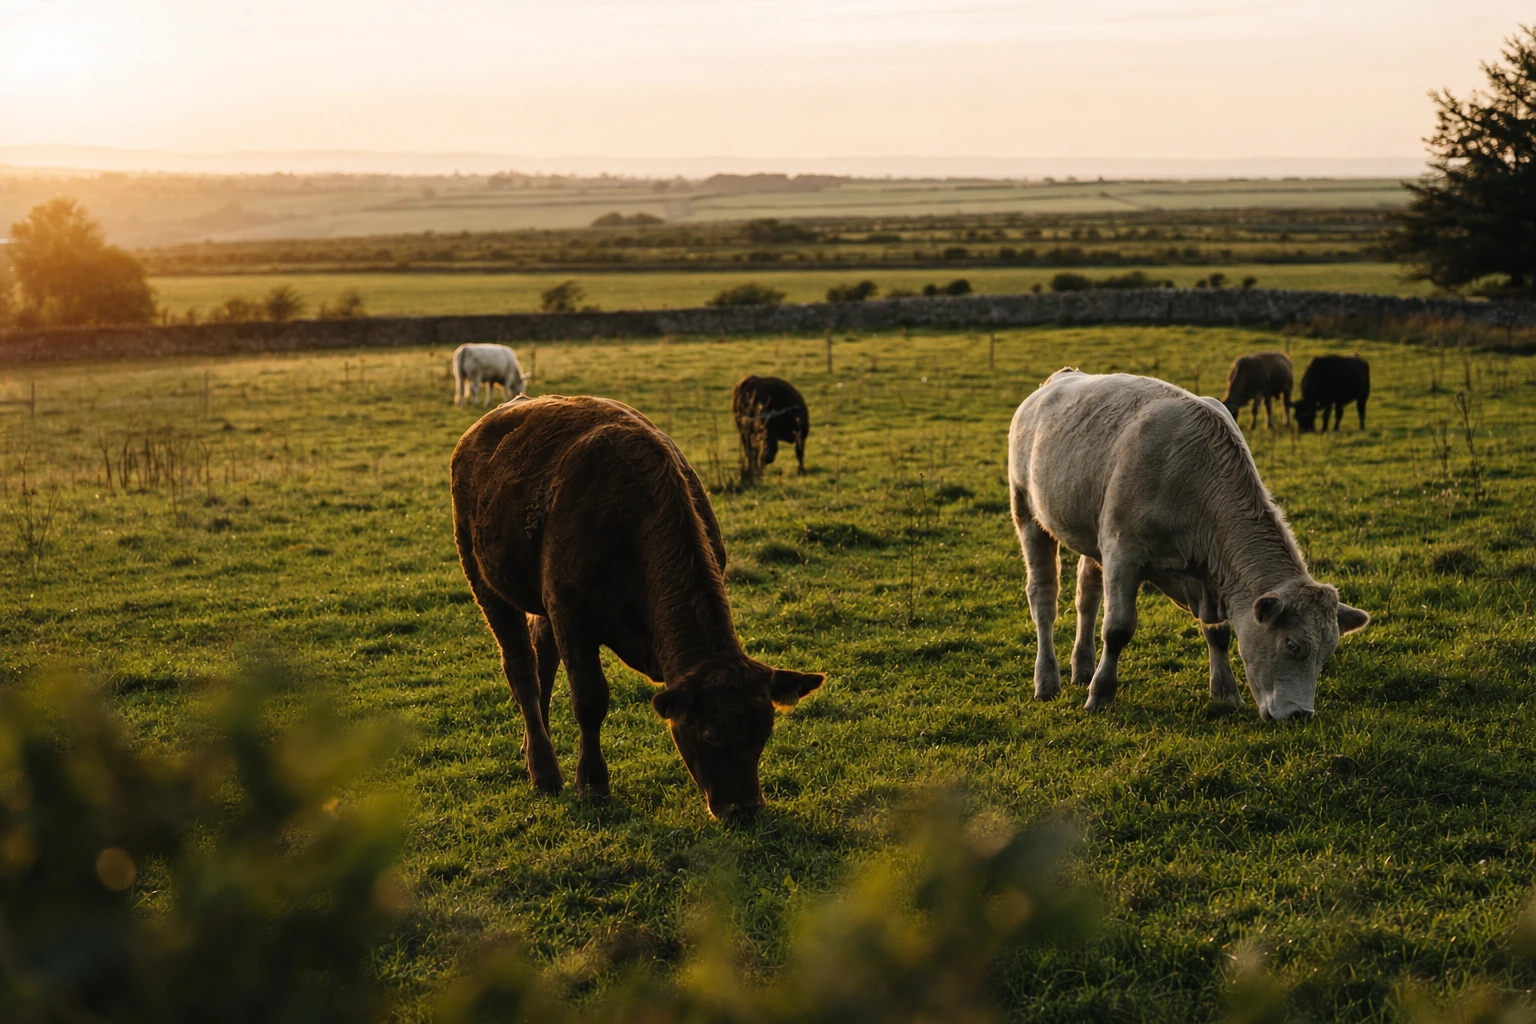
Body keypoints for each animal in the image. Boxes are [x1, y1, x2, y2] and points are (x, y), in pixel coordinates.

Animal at [451, 394, 824, 818]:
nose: (744, 808)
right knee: (522, 668)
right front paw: (593, 783)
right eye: (710, 735)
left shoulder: (559, 607)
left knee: (542, 659)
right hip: (482, 576)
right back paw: (544, 772)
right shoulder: (571, 615)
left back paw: (532, 748)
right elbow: (590, 698)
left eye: (763, 733)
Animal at [1007, 370, 1369, 722]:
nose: (1300, 715)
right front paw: (1101, 695)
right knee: (1044, 597)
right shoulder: (1122, 554)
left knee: (1087, 596)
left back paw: (1082, 668)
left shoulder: (1210, 574)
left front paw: (1226, 692)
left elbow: (1218, 633)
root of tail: (1060, 377)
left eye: (1326, 654)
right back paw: (1047, 681)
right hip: (1027, 511)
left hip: (1089, 534)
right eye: (1292, 645)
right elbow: (1118, 629)